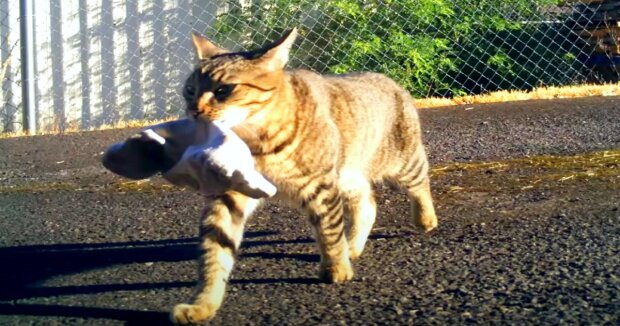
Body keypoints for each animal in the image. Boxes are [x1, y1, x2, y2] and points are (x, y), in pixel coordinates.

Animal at [172, 28, 438, 324]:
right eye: (189, 90)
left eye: (223, 90)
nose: (193, 111)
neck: (256, 142)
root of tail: (389, 79)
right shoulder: (229, 193)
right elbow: (214, 251)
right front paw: (203, 303)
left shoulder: (320, 186)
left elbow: (329, 231)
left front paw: (336, 268)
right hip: (349, 176)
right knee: (367, 206)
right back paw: (353, 245)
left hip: (400, 162)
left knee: (420, 182)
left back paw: (425, 219)